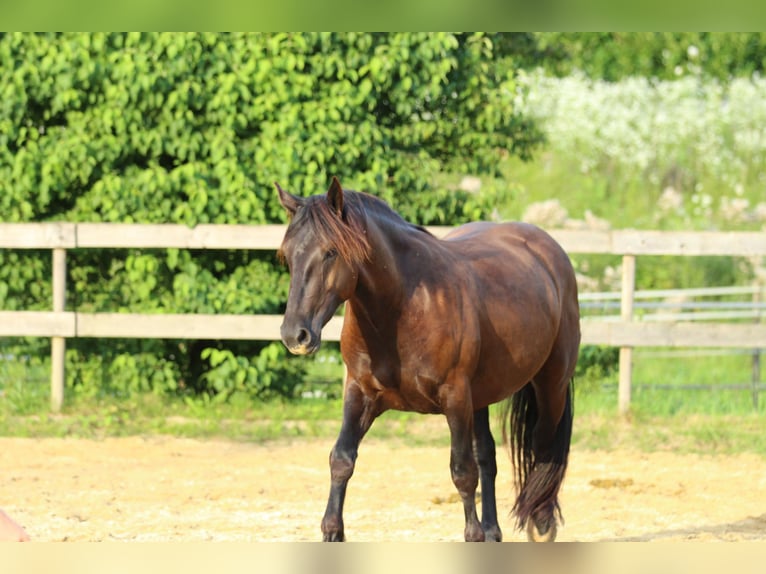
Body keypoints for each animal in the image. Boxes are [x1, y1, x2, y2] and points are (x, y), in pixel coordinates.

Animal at [276, 177, 584, 544]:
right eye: (286, 257)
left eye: (331, 252)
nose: (295, 335)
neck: (403, 307)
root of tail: (550, 252)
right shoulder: (359, 393)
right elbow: (341, 459)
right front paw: (332, 531)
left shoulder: (455, 398)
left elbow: (462, 472)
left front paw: (473, 534)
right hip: (481, 397)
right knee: (488, 456)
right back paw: (494, 530)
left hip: (550, 384)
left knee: (543, 445)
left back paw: (540, 521)